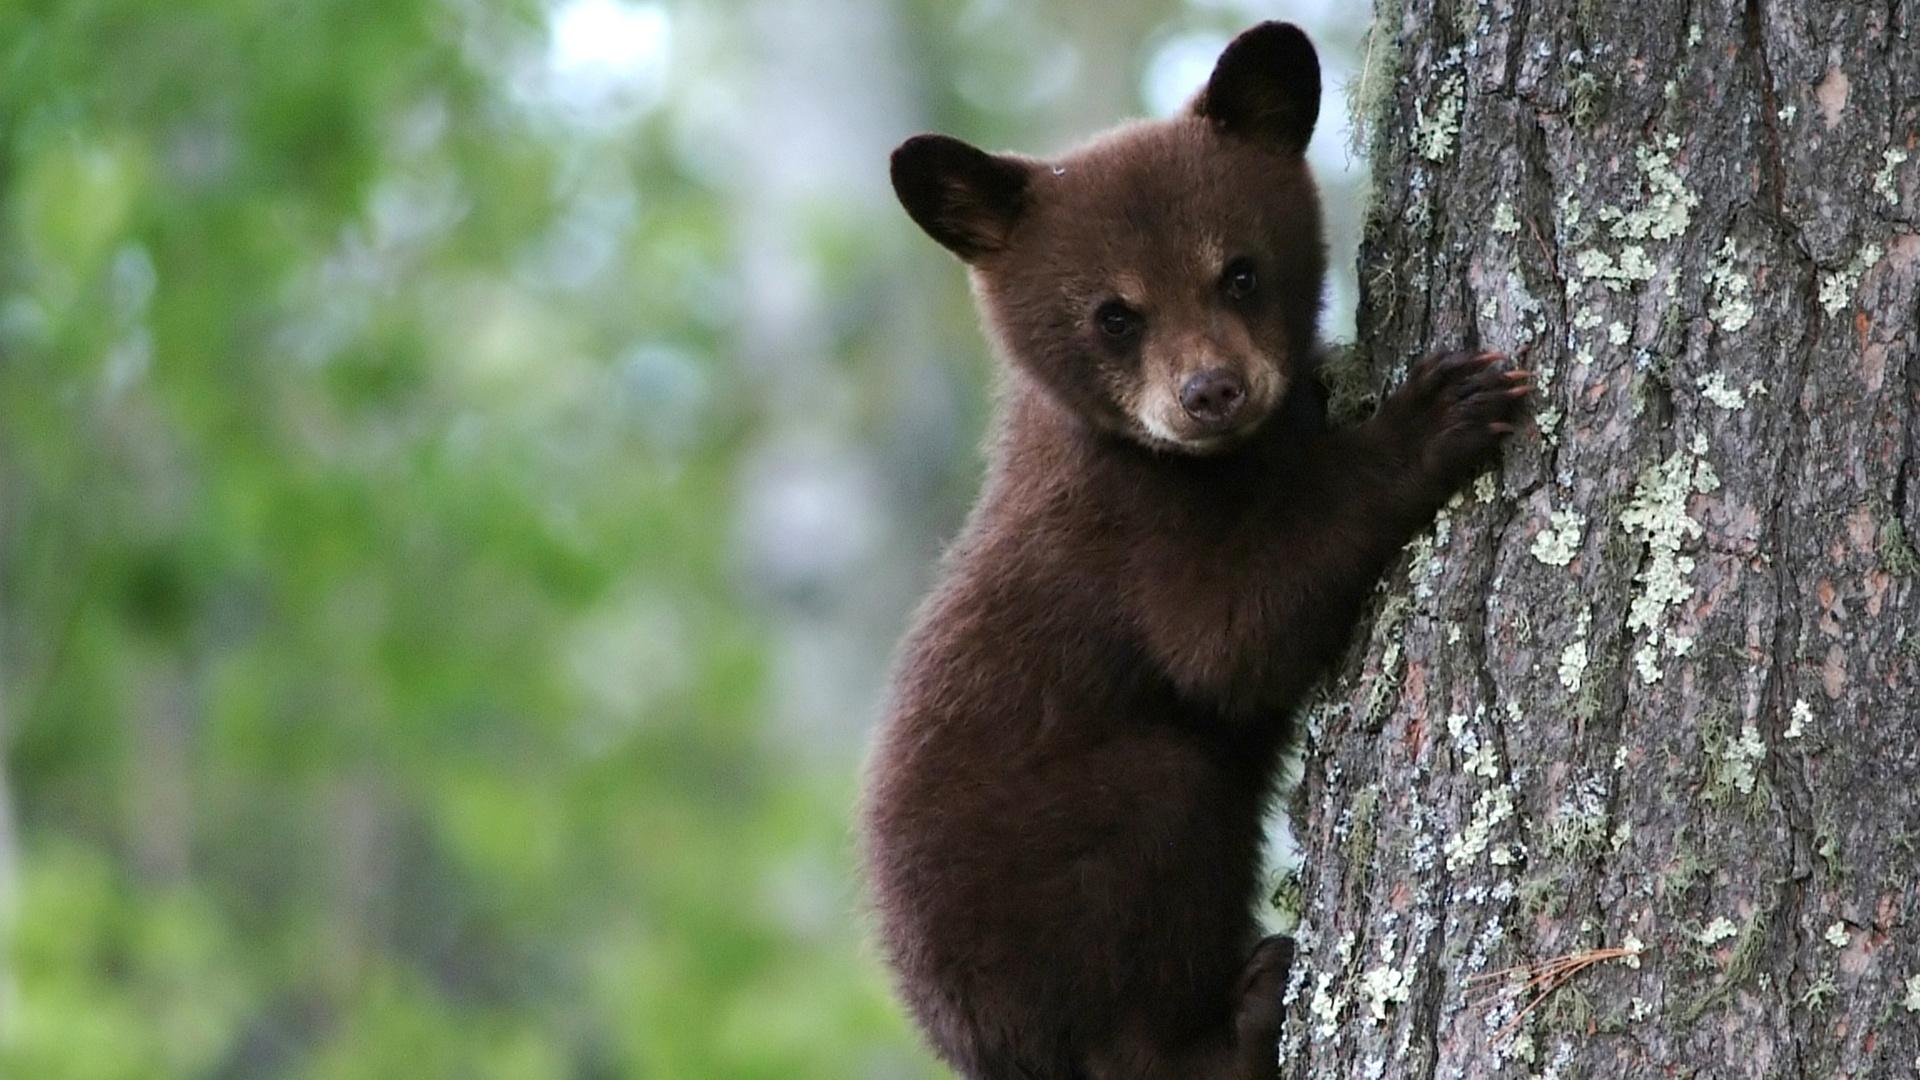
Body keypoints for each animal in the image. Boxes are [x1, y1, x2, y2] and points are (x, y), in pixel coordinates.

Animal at [859, 21, 1530, 1080]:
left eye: (1240, 271)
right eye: (1114, 313)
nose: (1210, 391)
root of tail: (973, 1046)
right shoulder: (1123, 533)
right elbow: (1228, 639)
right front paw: (1436, 414)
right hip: (1070, 874)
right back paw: (1243, 1019)